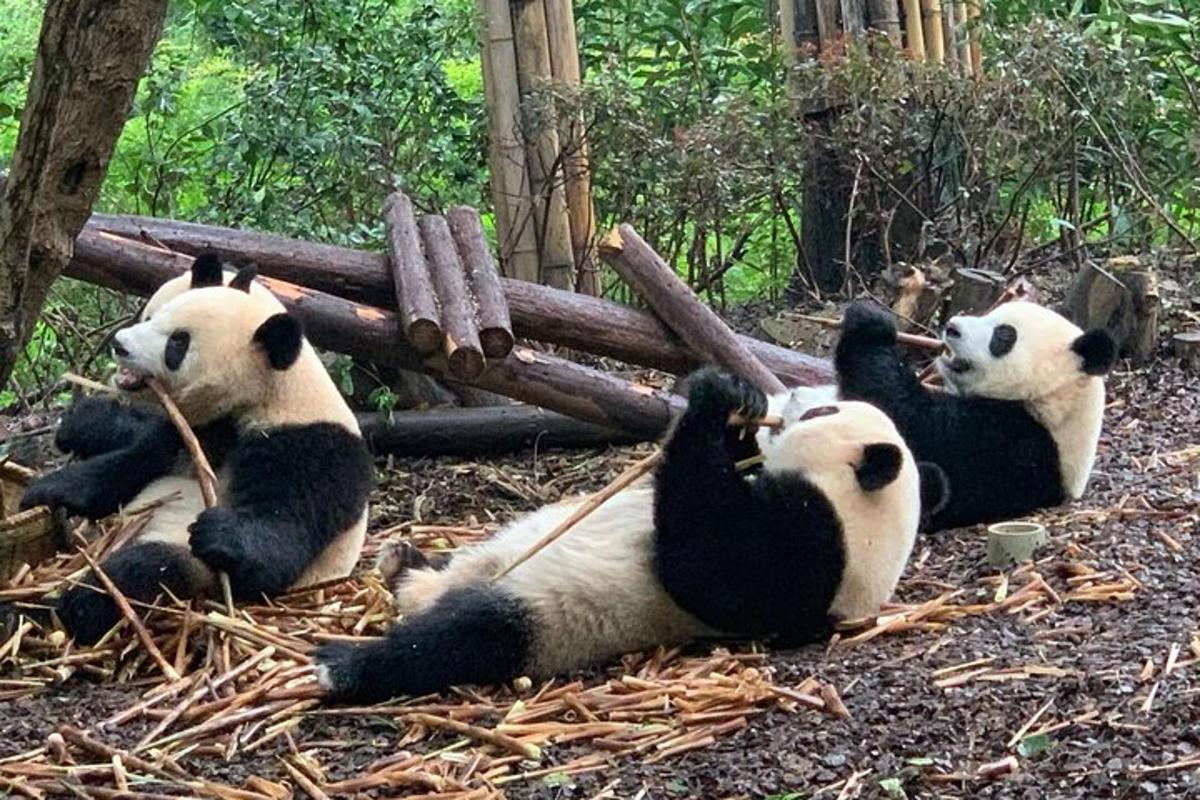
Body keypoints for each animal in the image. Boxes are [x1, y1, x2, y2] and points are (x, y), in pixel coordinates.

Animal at [21, 256, 372, 642]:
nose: (119, 343)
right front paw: (46, 490)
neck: (268, 394)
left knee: (147, 568)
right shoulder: (189, 430)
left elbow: (280, 545)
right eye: (154, 316)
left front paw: (218, 531)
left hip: (191, 567)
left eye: (178, 342)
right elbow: (125, 466)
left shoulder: (310, 450)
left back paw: (74, 606)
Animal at [312, 367, 936, 705]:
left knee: (462, 637)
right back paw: (403, 561)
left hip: (544, 616)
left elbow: (704, 560)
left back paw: (344, 664)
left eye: (823, 412)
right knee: (449, 577)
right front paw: (738, 400)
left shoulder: (811, 554)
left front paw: (712, 402)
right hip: (494, 554)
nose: (794, 399)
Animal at [830, 299, 1118, 532]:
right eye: (990, 313)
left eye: (1003, 335)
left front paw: (871, 323)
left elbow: (908, 414)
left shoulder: (1011, 444)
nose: (952, 327)